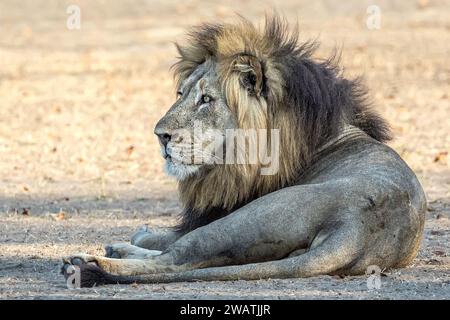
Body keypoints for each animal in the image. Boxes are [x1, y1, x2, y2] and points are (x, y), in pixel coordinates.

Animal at [60, 15, 426, 288]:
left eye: (206, 99)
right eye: (181, 93)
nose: (160, 135)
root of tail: (355, 231)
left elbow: (167, 240)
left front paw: (142, 235)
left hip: (244, 219)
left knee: (176, 258)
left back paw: (88, 260)